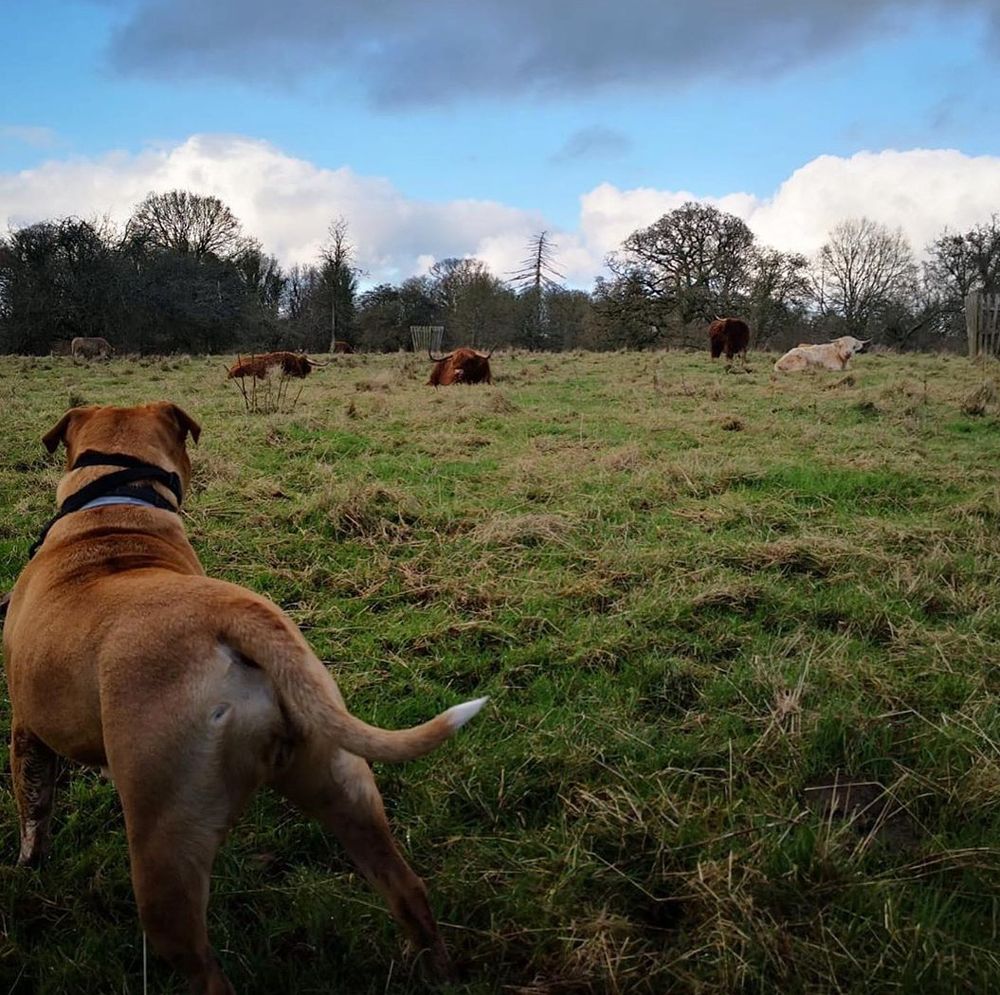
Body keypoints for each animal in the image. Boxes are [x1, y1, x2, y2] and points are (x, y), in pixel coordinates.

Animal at [3, 402, 487, 994]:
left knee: (202, 966)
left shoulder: (26, 730)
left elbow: (34, 810)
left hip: (163, 849)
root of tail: (232, 616)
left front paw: (28, 868)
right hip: (340, 782)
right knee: (407, 888)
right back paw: (438, 971)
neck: (115, 513)